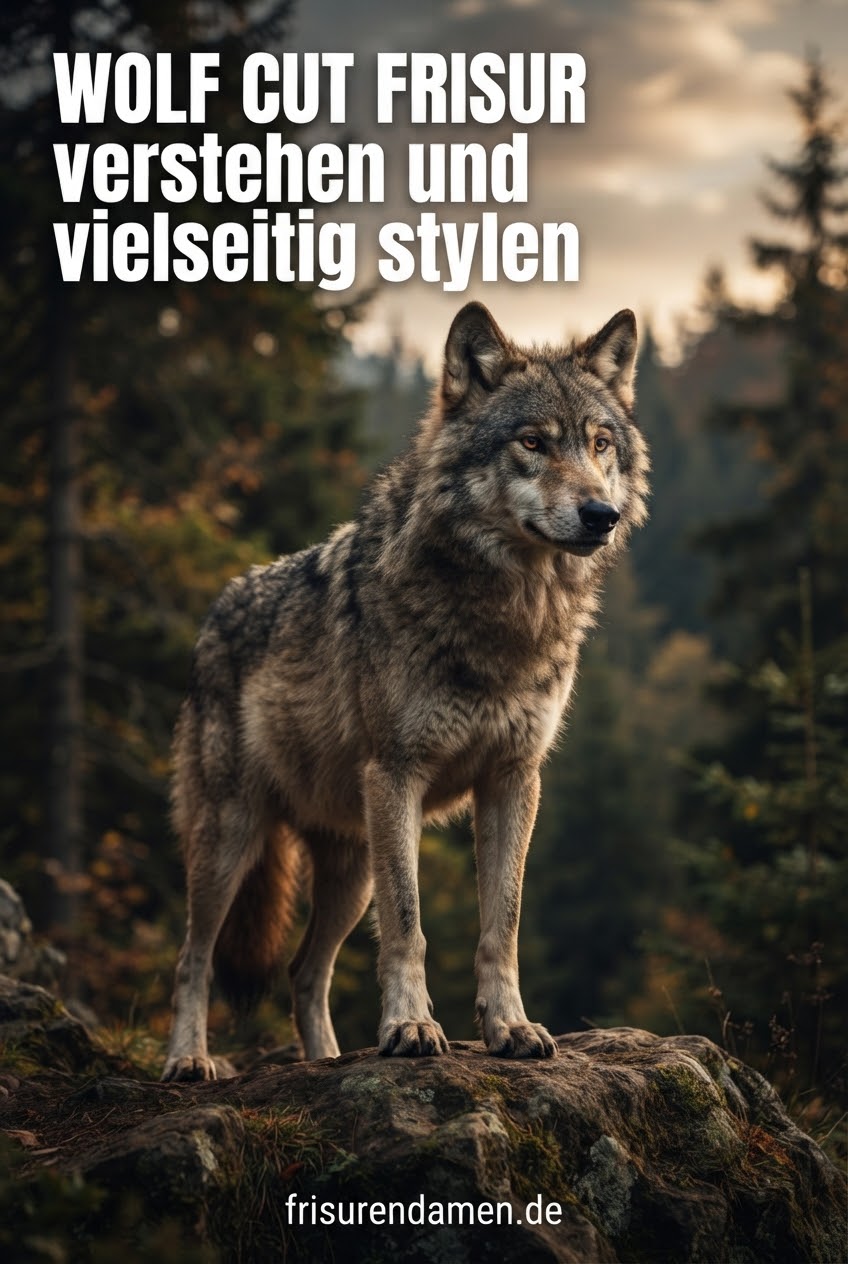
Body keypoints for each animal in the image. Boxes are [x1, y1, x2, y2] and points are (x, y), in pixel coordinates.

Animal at [162, 302, 649, 1081]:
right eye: (533, 443)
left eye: (600, 444)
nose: (600, 514)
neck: (508, 614)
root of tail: (216, 611)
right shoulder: (398, 775)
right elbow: (410, 925)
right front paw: (412, 1028)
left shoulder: (514, 780)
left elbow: (502, 923)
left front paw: (510, 1027)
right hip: (232, 841)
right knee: (193, 957)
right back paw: (189, 1062)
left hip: (351, 870)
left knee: (305, 971)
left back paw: (329, 1061)